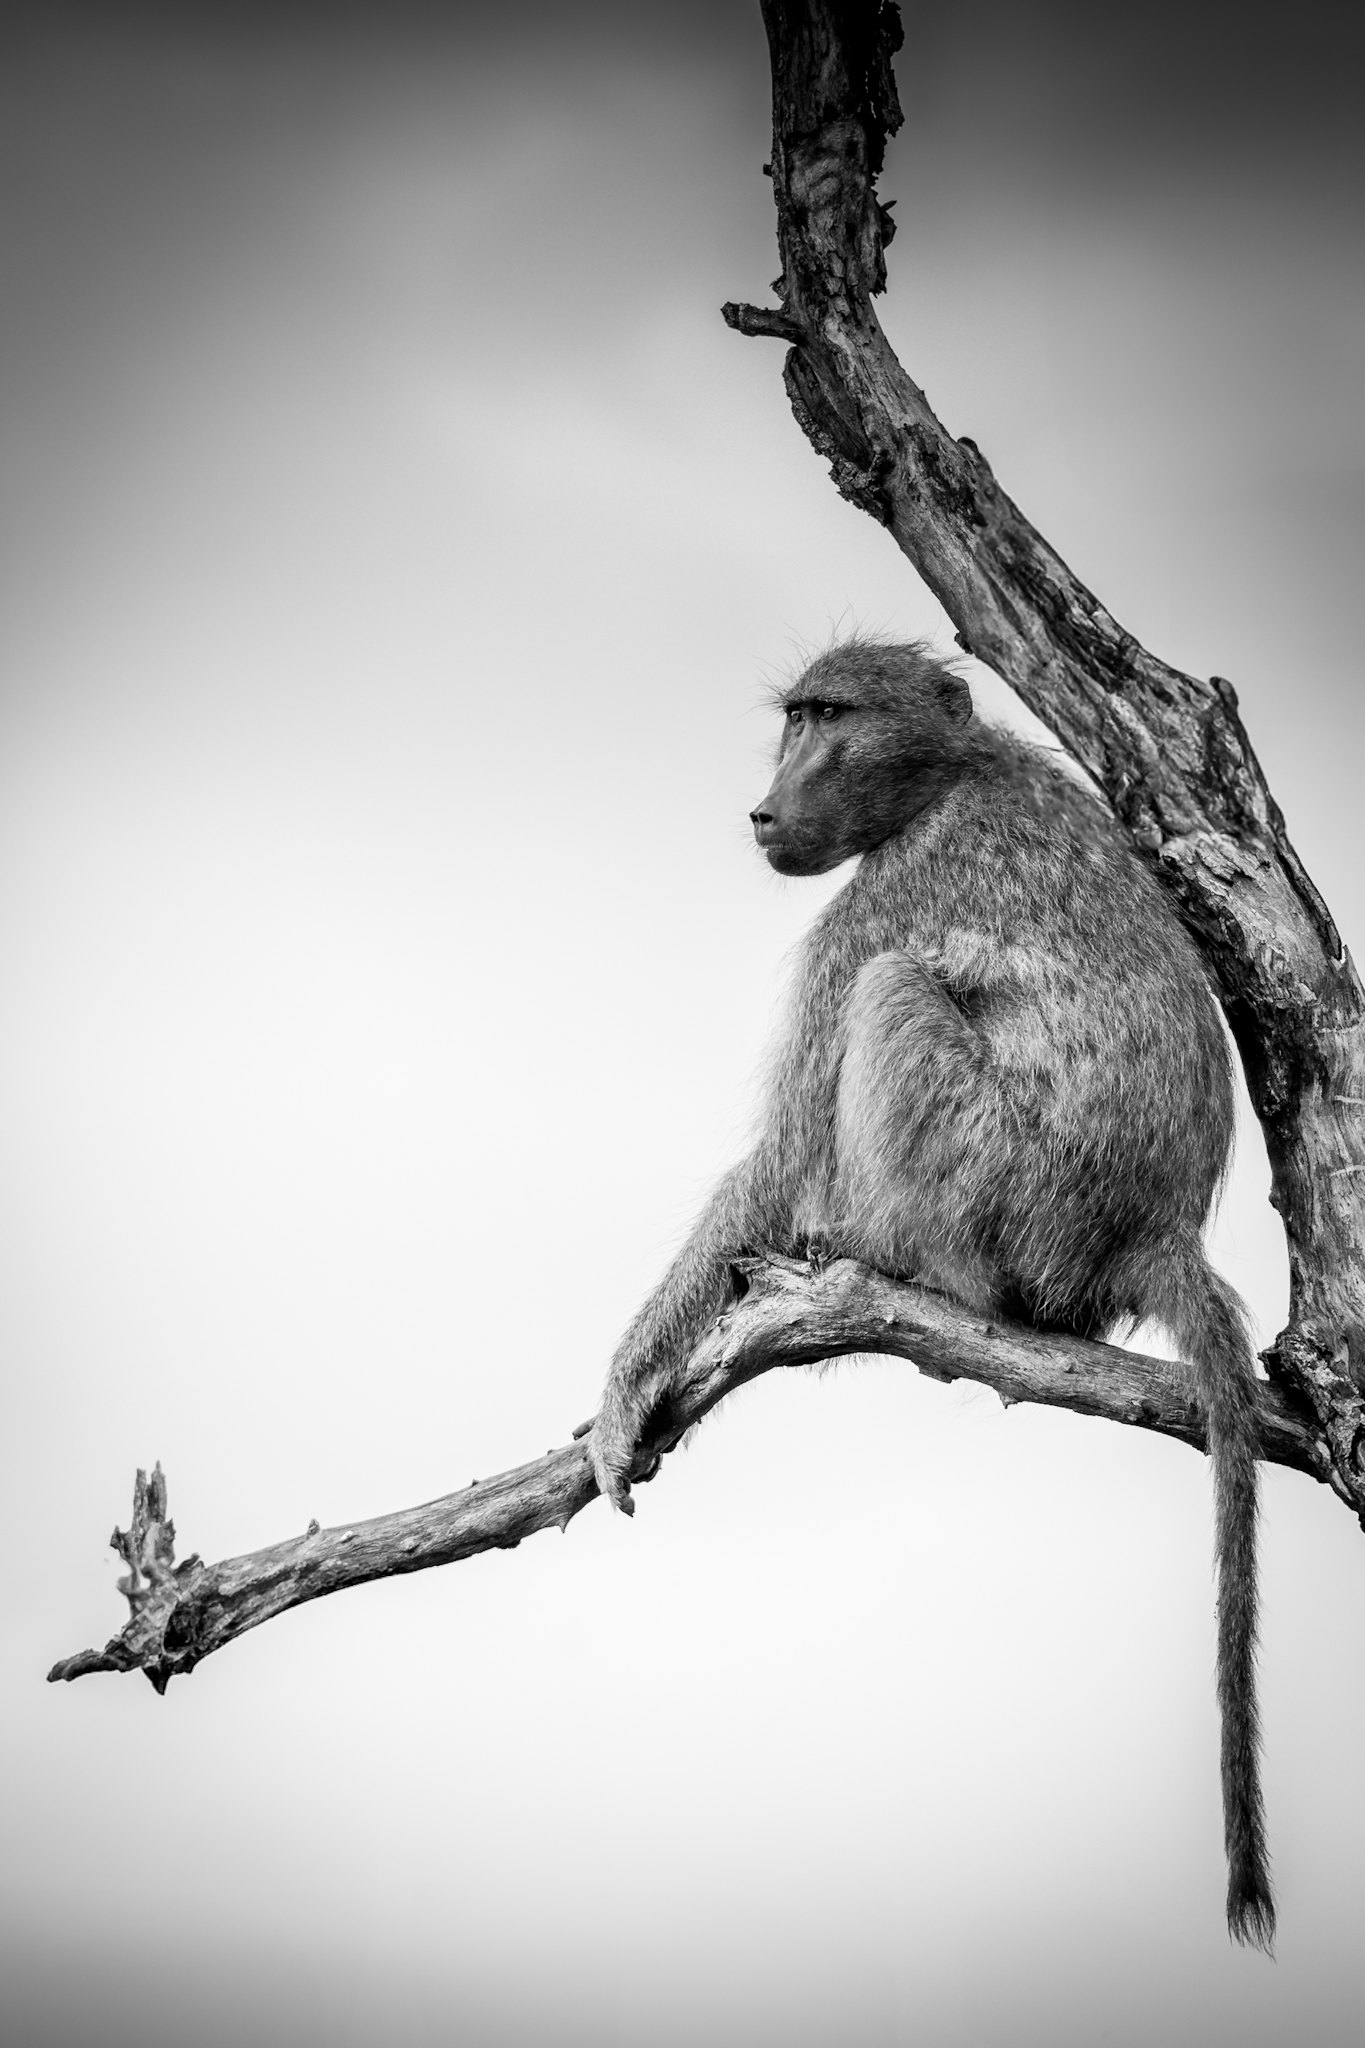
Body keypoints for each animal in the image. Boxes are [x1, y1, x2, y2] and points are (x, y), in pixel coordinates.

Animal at [586, 636, 1274, 1948]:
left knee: (897, 995)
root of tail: (1152, 1230)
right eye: (793, 717)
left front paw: (623, 1387)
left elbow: (782, 1143)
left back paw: (893, 1263)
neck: (955, 770)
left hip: (1005, 1185)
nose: (762, 808)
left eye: (827, 717)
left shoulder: (883, 898)